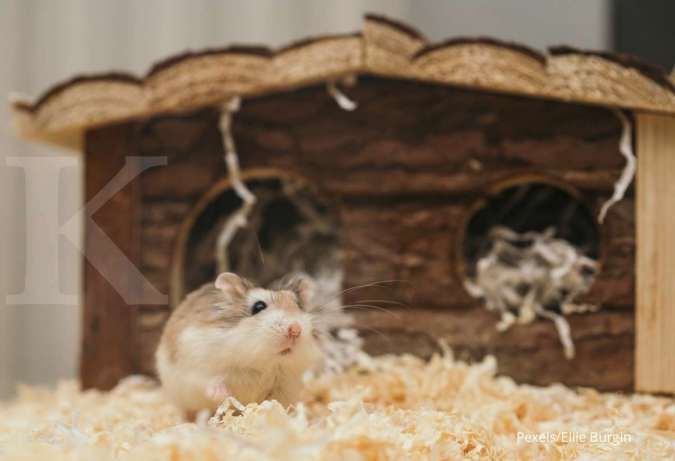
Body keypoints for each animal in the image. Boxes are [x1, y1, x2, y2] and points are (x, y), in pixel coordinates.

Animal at [155, 272, 323, 415]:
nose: (295, 329)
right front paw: (224, 394)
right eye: (259, 306)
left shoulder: (284, 386)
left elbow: (274, 403)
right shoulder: (197, 366)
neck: (261, 363)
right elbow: (209, 382)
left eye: (298, 306)